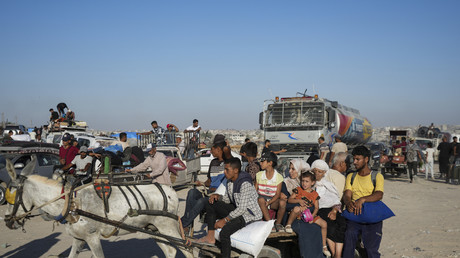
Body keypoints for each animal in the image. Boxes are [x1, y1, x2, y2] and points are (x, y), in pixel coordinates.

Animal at [3, 157, 192, 258]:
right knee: (170, 250)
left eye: (11, 196)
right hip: (153, 228)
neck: (70, 204)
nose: (7, 220)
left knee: (189, 249)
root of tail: (170, 190)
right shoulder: (78, 238)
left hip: (168, 227)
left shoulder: (92, 237)